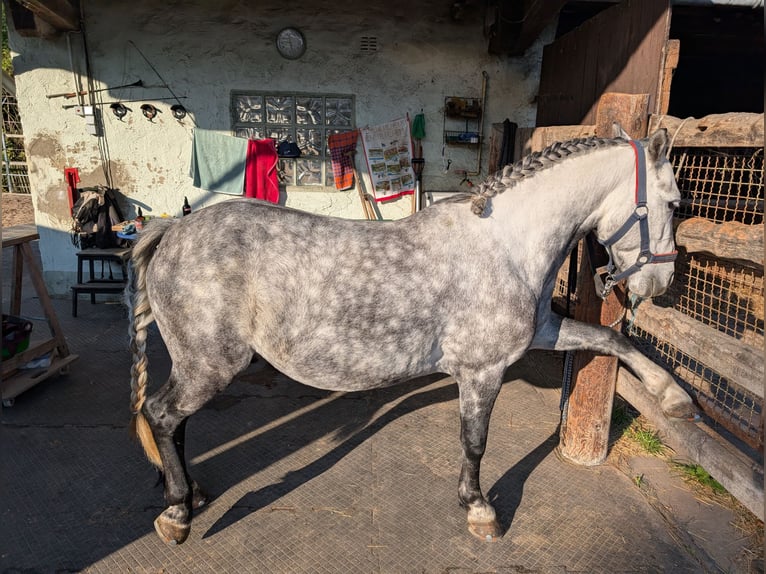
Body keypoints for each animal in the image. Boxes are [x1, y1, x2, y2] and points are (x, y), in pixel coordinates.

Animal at [127, 127, 697, 546]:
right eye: (674, 202)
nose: (662, 282)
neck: (507, 243)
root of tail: (171, 232)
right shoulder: (482, 370)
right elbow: (475, 441)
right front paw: (480, 509)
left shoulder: (543, 330)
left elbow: (613, 340)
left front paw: (675, 399)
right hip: (211, 363)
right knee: (160, 414)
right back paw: (177, 513)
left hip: (197, 364)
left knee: (173, 421)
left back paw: (192, 494)